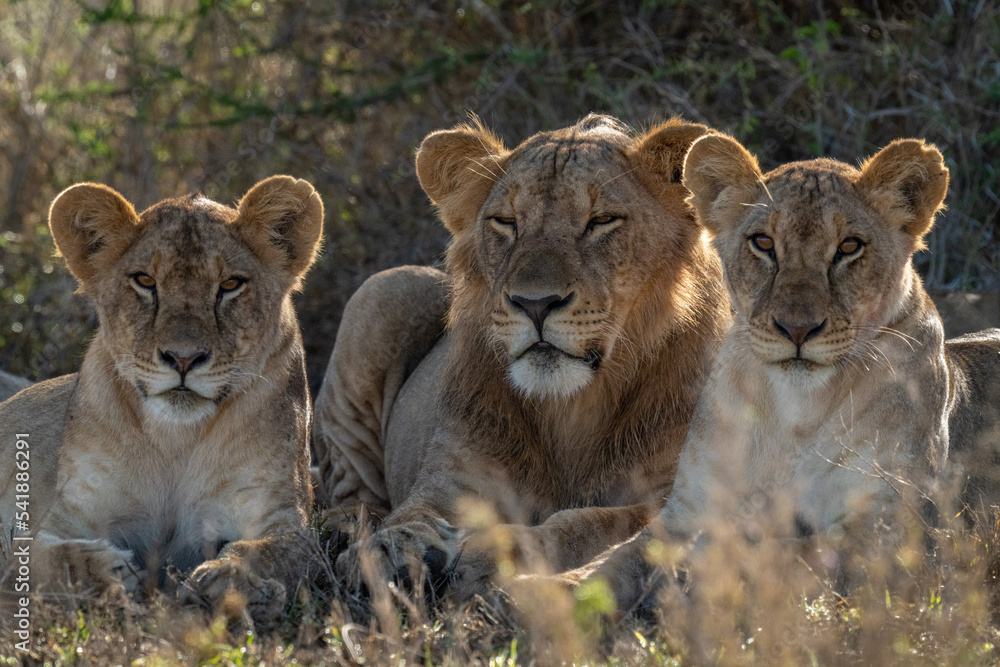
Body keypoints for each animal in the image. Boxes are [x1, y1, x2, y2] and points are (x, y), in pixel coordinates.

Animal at [0, 177, 325, 621]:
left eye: (230, 284)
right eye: (145, 281)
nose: (183, 358)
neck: (176, 440)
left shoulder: (281, 515)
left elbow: (276, 552)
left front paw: (228, 581)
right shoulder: (64, 518)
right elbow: (45, 559)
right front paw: (114, 573)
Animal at [312, 114, 732, 595]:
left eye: (602, 220)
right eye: (505, 221)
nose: (535, 304)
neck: (572, 410)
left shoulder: (680, 495)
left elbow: (592, 523)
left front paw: (492, 555)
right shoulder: (453, 482)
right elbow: (413, 513)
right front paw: (387, 549)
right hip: (385, 288)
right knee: (353, 494)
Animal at [571, 134, 1000, 614]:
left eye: (849, 247)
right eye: (763, 243)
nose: (796, 328)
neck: (795, 410)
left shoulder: (892, 532)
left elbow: (782, 554)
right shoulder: (684, 512)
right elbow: (610, 565)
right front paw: (548, 595)